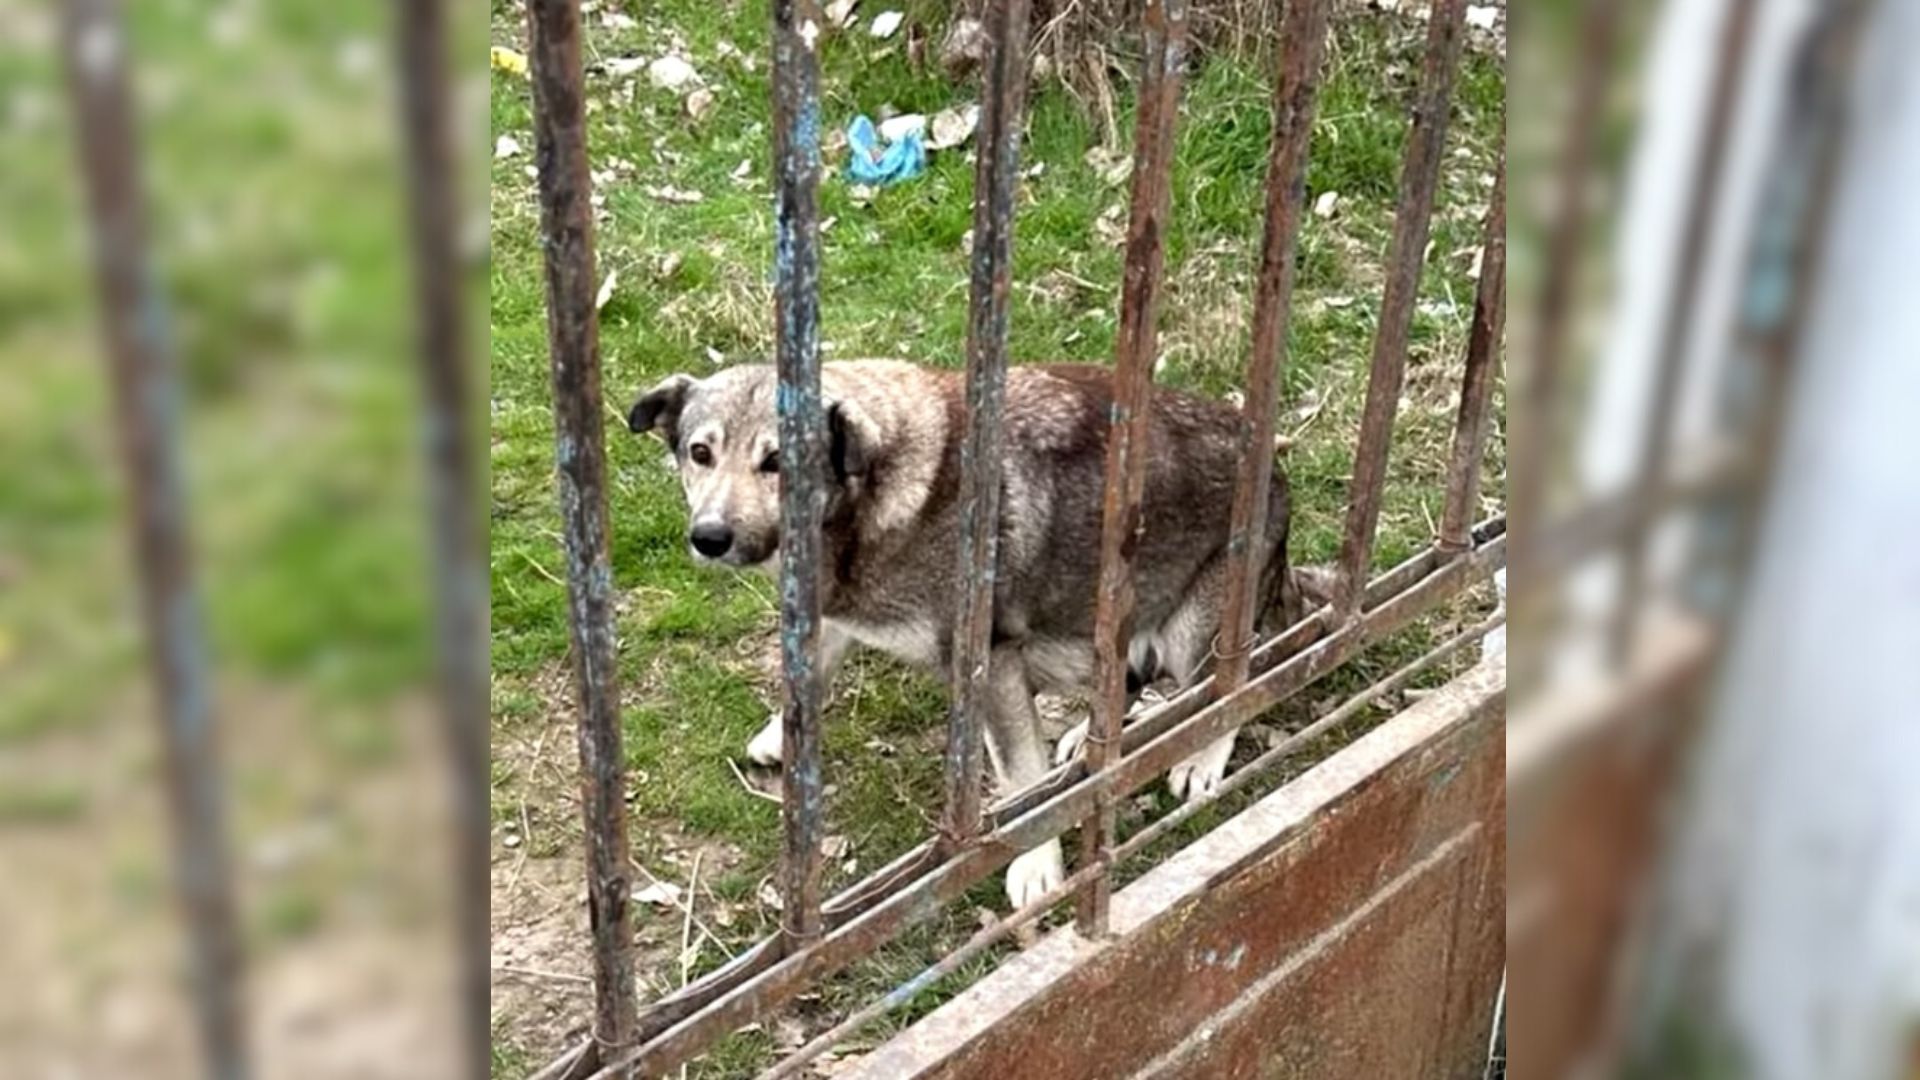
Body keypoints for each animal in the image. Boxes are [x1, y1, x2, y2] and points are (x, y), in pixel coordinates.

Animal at [637, 357, 1297, 903]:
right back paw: (1089, 735)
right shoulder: (833, 615)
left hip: (1190, 628)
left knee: (1229, 682)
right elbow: (808, 680)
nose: (710, 538)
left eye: (776, 462)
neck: (875, 492)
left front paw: (1036, 864)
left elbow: (1021, 778)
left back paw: (1200, 754)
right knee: (1132, 678)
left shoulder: (991, 659)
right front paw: (781, 735)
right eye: (700, 453)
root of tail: (1280, 477)